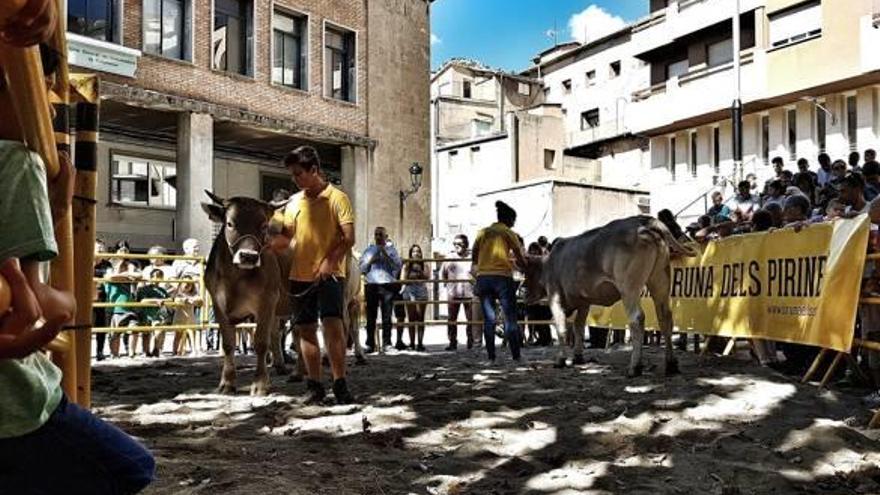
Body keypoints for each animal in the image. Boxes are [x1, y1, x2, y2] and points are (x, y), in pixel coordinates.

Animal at [524, 216, 696, 376]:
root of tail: (644, 220)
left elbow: (561, 327)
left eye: (527, 274)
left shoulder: (555, 298)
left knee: (637, 318)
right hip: (660, 280)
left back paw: (635, 367)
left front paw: (560, 360)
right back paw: (671, 364)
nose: (523, 291)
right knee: (665, 317)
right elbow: (579, 326)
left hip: (629, 287)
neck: (549, 263)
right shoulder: (584, 302)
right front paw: (578, 356)